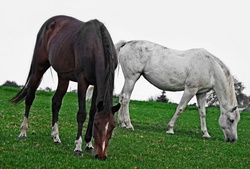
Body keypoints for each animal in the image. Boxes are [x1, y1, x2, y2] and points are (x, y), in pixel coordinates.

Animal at [10, 14, 121, 160]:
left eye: (113, 126)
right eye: (97, 125)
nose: (101, 155)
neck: (93, 45)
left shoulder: (97, 84)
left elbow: (92, 112)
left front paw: (89, 144)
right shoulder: (82, 81)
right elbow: (82, 114)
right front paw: (78, 147)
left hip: (63, 77)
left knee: (56, 102)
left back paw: (56, 137)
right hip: (39, 67)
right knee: (30, 98)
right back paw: (23, 133)